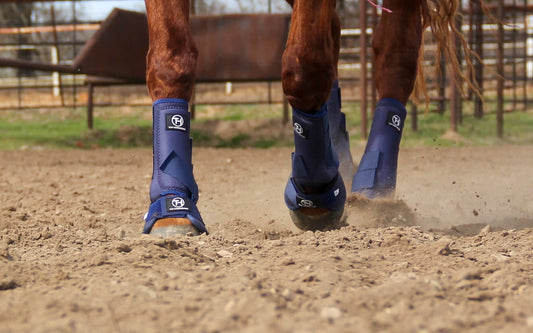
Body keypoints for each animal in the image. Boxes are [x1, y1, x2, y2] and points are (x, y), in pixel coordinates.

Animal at [141, 0, 470, 236]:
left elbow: (305, 69)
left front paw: (318, 191)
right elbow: (171, 60)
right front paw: (173, 204)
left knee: (395, 55)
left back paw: (375, 192)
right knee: (334, 31)